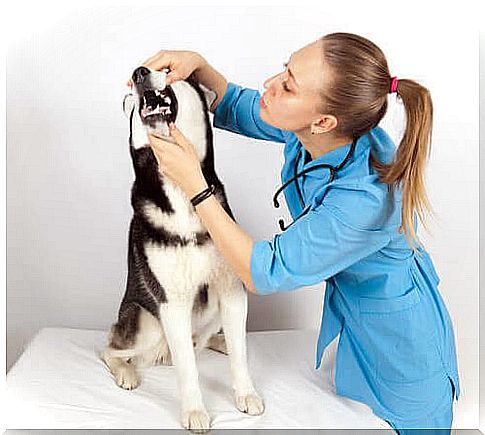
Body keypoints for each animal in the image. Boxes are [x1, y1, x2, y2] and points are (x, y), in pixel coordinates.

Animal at [99, 66, 262, 434]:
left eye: (166, 70)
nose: (139, 72)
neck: (180, 189)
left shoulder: (232, 291)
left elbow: (241, 353)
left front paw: (245, 392)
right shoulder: (172, 302)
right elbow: (187, 369)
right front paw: (195, 411)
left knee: (208, 340)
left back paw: (218, 342)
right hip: (145, 323)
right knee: (110, 348)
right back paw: (126, 371)